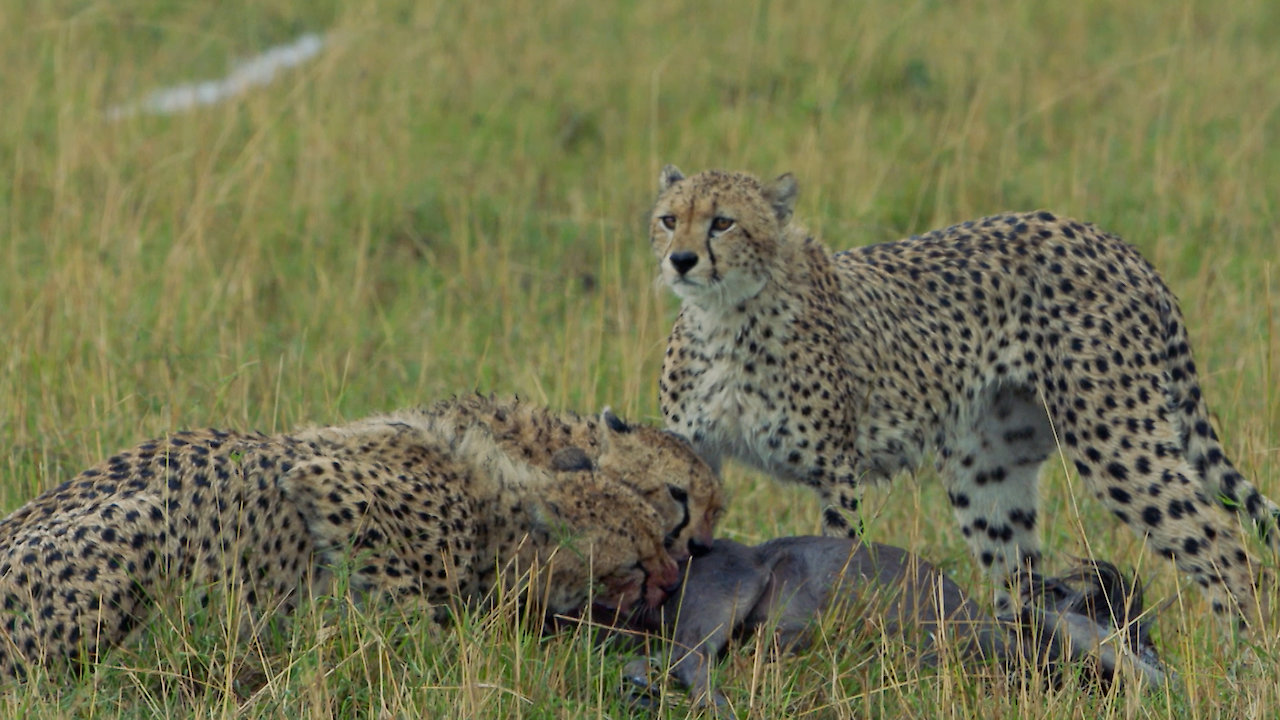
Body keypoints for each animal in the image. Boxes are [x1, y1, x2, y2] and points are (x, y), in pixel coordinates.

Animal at [0, 411, 681, 680]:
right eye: (634, 563)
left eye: (661, 530)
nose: (674, 580)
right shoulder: (331, 485)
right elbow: (412, 610)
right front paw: (444, 650)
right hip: (144, 526)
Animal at [649, 164, 1280, 626]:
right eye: (669, 219)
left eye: (723, 222)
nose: (680, 259)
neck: (725, 319)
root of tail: (1117, 243)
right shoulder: (697, 455)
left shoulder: (836, 470)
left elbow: (837, 556)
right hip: (987, 467)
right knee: (1020, 571)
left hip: (1115, 438)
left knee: (1226, 548)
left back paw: (1244, 663)